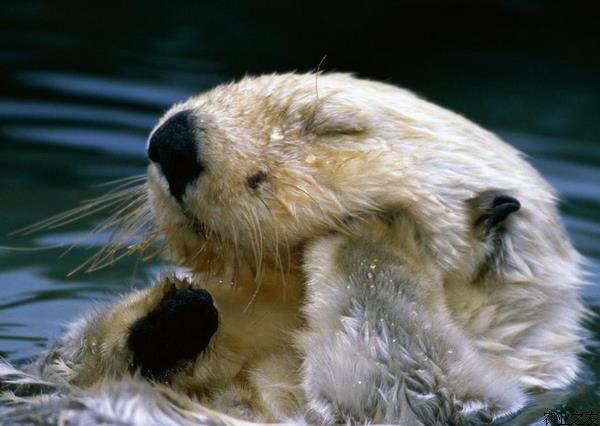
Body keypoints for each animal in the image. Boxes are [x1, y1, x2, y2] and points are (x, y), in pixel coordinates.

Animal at [0, 74, 584, 426]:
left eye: (336, 129)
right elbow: (69, 358)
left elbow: (393, 365)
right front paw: (173, 312)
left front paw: (381, 232)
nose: (171, 140)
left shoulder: (449, 398)